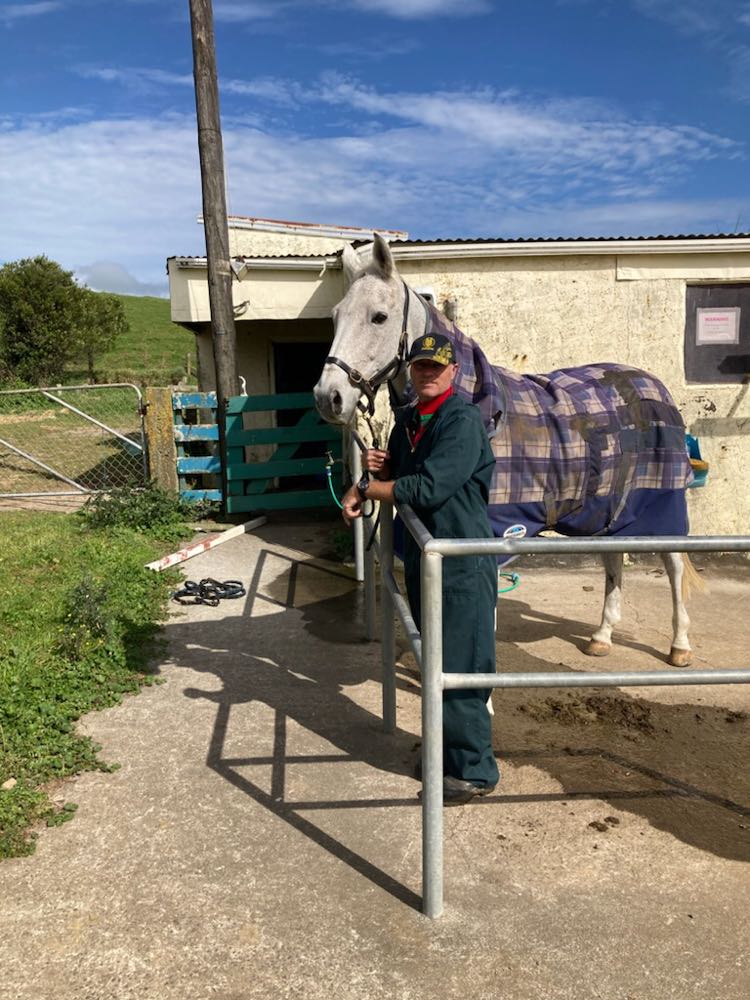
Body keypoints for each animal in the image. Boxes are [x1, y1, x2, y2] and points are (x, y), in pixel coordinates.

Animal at [314, 233, 702, 667]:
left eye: (379, 317)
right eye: (336, 316)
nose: (328, 397)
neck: (479, 406)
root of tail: (653, 385)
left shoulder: (493, 534)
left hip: (663, 507)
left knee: (674, 567)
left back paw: (680, 646)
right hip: (607, 509)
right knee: (613, 561)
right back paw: (601, 636)